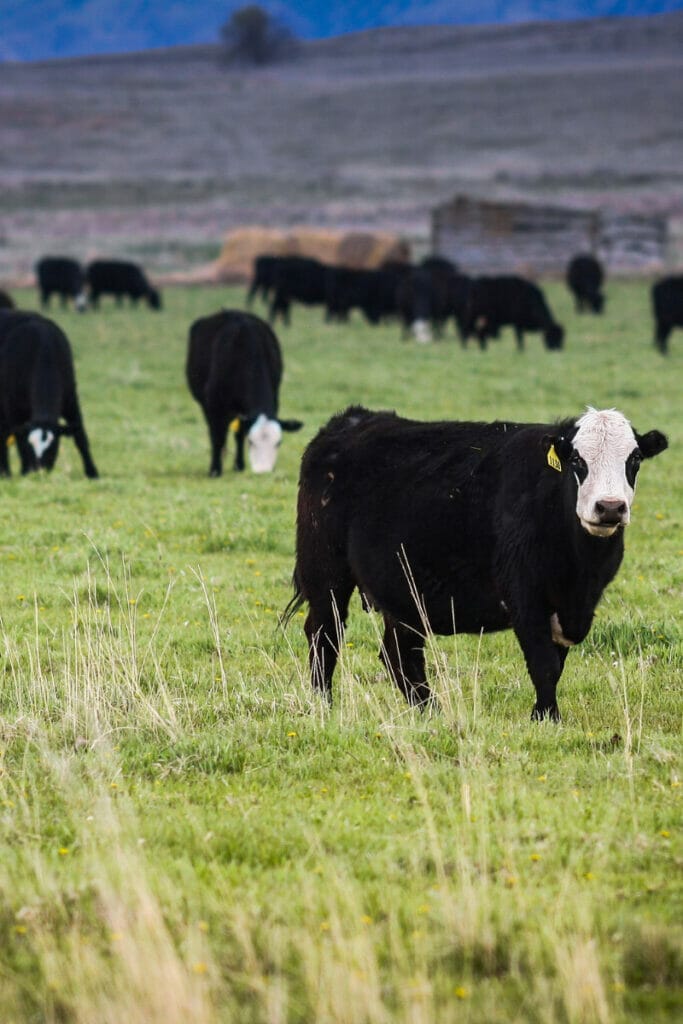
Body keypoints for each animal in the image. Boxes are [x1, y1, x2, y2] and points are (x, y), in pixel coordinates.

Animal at [0, 309, 98, 477]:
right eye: (30, 446)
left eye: (53, 447)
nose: (39, 470)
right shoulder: (13, 408)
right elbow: (18, 439)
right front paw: (24, 471)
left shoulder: (71, 399)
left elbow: (80, 436)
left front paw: (92, 472)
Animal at [187, 307, 305, 475]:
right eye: (251, 442)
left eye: (279, 442)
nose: (263, 471)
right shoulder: (213, 404)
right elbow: (217, 437)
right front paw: (215, 470)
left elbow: (239, 434)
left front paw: (239, 465)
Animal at [282, 401, 667, 720]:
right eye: (577, 460)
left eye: (634, 460)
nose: (610, 507)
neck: (579, 567)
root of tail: (352, 420)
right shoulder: (524, 597)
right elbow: (543, 663)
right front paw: (547, 718)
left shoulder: (574, 605)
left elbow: (556, 663)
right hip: (326, 573)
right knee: (324, 634)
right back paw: (324, 705)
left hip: (402, 590)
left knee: (400, 653)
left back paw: (431, 712)